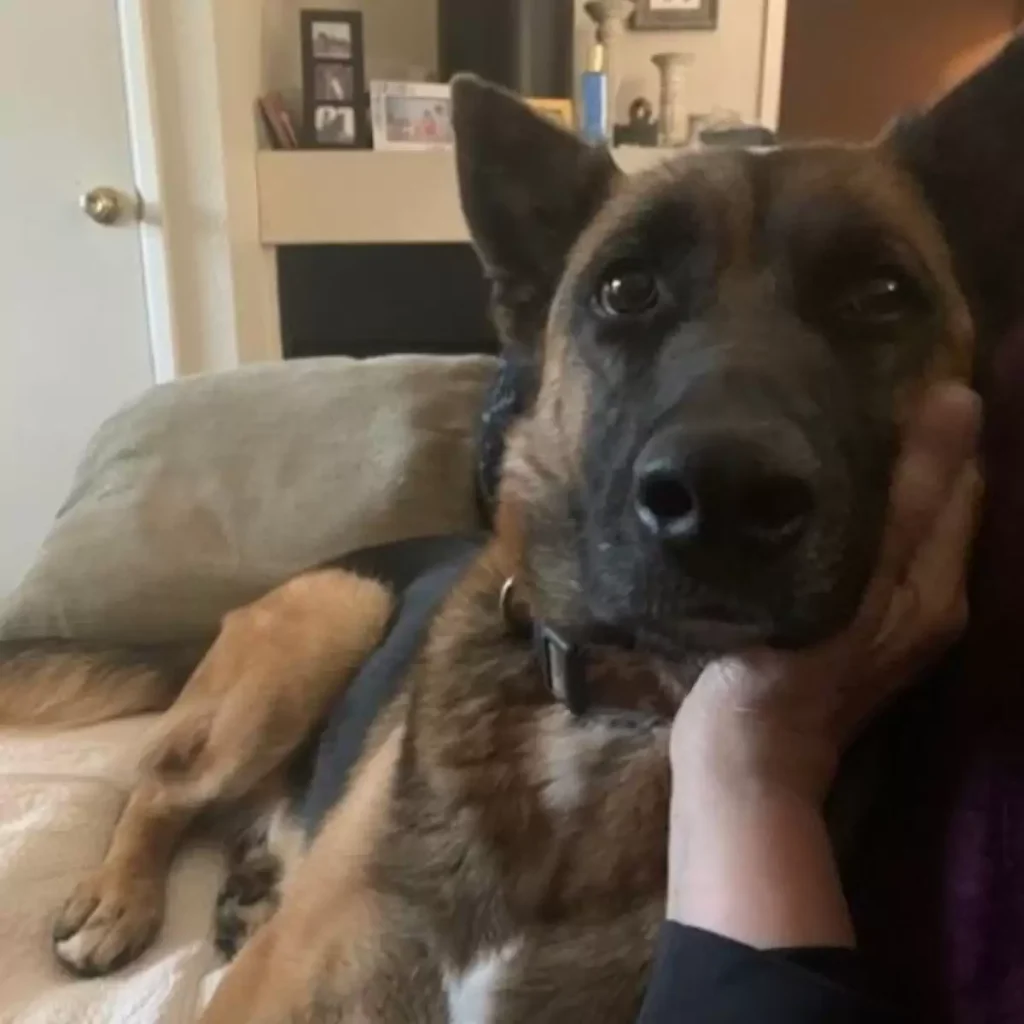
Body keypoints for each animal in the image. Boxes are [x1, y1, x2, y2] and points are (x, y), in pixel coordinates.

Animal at [6, 36, 1024, 1019]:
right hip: (327, 622)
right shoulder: (266, 993)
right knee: (159, 782)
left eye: (880, 295)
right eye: (625, 290)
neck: (614, 709)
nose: (722, 496)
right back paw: (118, 894)